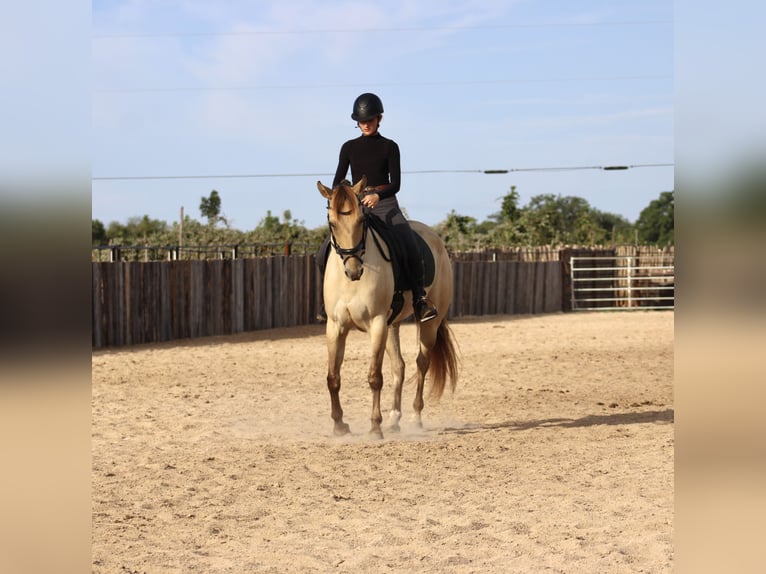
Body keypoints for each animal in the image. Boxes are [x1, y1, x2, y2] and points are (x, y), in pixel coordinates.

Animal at [316, 176, 459, 438]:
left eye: (361, 220)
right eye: (332, 223)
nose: (354, 270)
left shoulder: (377, 323)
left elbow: (374, 377)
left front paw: (375, 427)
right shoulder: (335, 326)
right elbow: (333, 377)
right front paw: (340, 425)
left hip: (429, 324)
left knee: (421, 364)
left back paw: (415, 418)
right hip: (393, 325)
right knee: (399, 367)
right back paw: (394, 420)